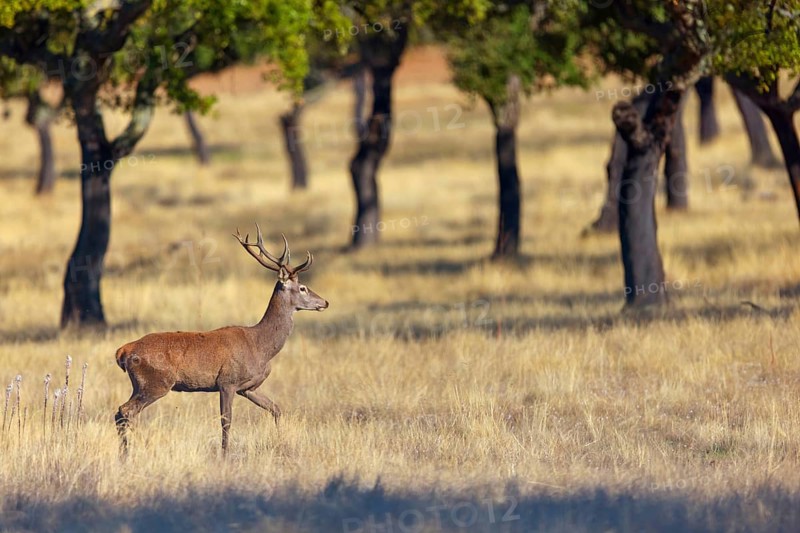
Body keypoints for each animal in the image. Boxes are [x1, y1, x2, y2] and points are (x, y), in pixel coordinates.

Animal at [113, 225, 328, 454]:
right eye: (303, 288)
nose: (325, 302)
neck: (260, 346)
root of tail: (124, 350)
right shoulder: (227, 382)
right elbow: (226, 421)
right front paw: (224, 454)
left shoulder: (248, 388)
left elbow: (276, 409)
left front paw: (280, 442)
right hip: (156, 382)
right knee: (125, 411)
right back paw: (130, 452)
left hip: (139, 384)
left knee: (120, 413)